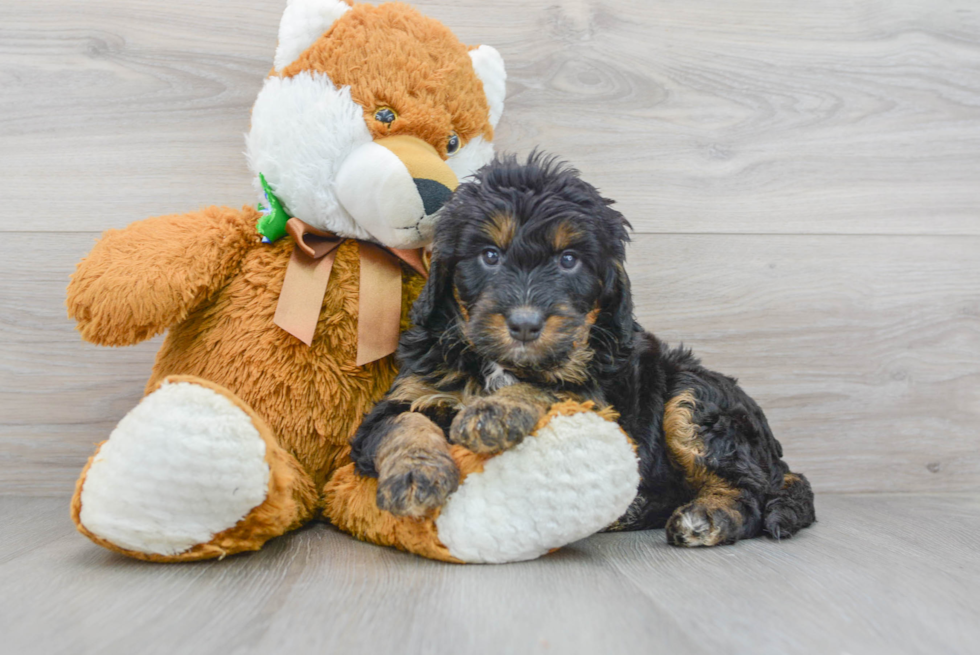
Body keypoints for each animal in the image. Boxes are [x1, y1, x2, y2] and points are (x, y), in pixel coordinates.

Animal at [348, 155, 816, 548]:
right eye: (490, 256)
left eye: (569, 260)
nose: (524, 324)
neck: (499, 364)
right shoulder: (408, 393)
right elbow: (403, 423)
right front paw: (415, 475)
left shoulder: (598, 400)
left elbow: (550, 389)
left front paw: (495, 410)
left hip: (694, 401)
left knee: (751, 490)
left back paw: (707, 517)